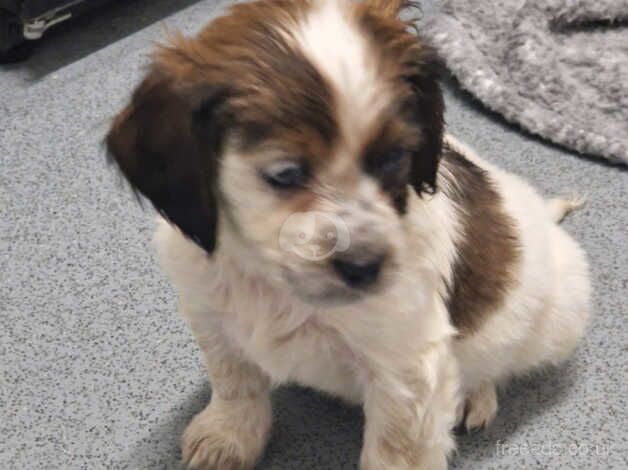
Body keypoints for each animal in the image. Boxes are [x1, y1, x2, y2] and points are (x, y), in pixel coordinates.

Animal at [105, 1, 592, 468]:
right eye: (285, 174)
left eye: (394, 159)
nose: (365, 266)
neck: (276, 285)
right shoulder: (209, 312)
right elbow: (234, 380)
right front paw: (228, 436)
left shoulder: (405, 368)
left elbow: (395, 453)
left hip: (560, 315)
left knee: (500, 362)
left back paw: (477, 393)